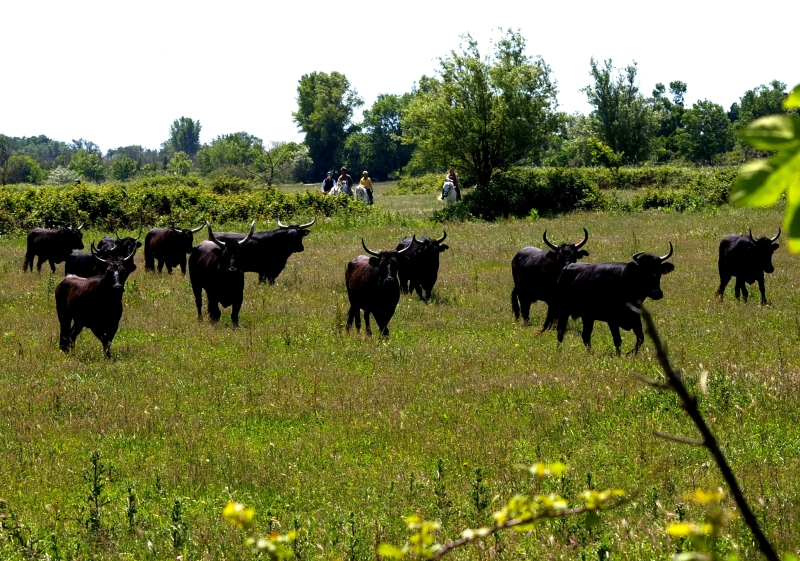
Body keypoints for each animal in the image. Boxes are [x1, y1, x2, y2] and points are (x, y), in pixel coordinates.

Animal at [544, 241, 676, 354]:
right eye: (643, 271)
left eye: (658, 272)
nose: (656, 293)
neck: (627, 282)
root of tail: (567, 267)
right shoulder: (612, 320)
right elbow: (617, 340)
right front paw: (620, 356)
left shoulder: (635, 318)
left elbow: (640, 338)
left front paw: (631, 354)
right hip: (563, 311)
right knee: (561, 331)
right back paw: (559, 350)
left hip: (588, 316)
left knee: (586, 335)